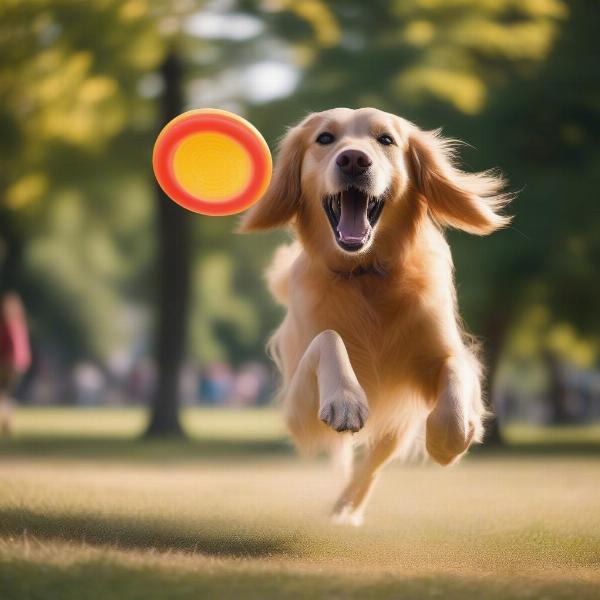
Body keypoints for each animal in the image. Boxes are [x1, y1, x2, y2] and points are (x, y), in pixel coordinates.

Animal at [239, 108, 510, 524]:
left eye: (386, 140)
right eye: (325, 138)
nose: (353, 159)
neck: (364, 276)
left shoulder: (440, 354)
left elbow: (455, 369)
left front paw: (449, 438)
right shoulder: (299, 416)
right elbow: (328, 338)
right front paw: (345, 400)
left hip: (394, 429)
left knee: (371, 465)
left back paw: (347, 508)